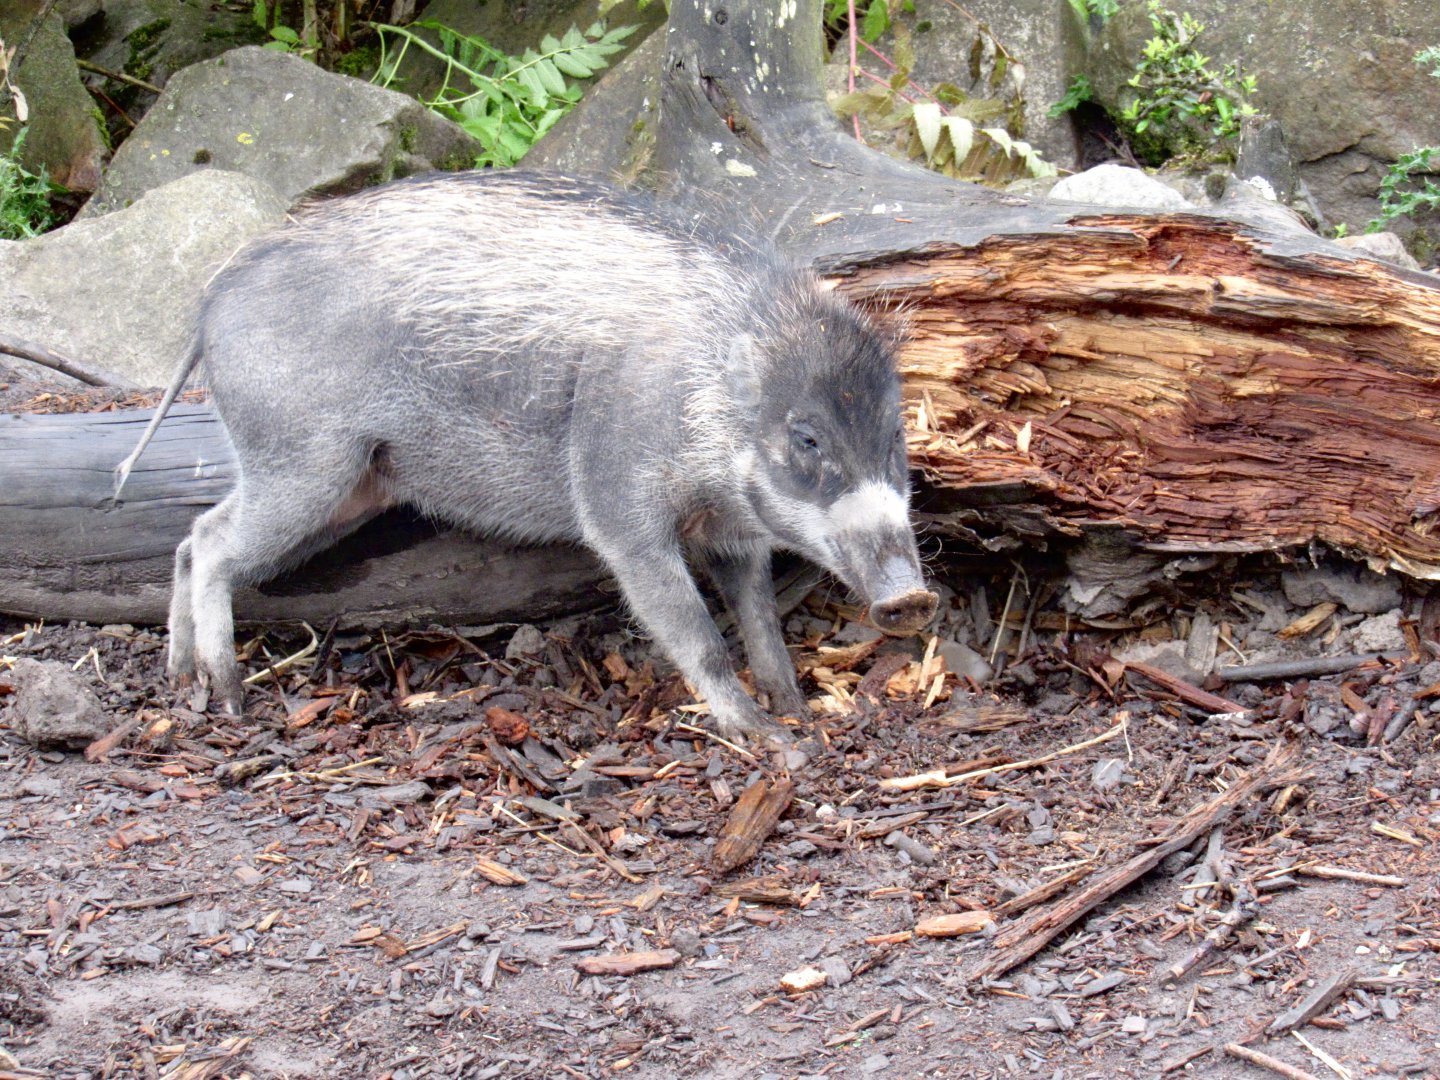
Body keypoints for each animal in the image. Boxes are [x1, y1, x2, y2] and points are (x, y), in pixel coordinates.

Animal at [117, 171, 937, 741]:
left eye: (895, 434)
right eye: (807, 437)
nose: (912, 597)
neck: (706, 393)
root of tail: (210, 302)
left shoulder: (734, 532)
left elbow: (759, 616)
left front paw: (797, 707)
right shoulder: (619, 507)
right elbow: (694, 630)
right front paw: (770, 739)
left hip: (345, 487)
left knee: (194, 537)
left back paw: (183, 679)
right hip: (302, 465)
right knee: (211, 542)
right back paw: (227, 696)